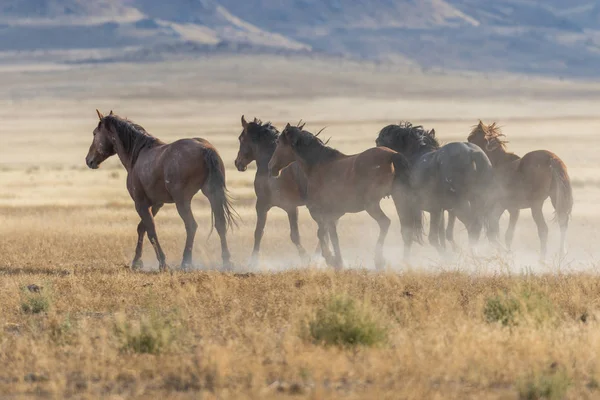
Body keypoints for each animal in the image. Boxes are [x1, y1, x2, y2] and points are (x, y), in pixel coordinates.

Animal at [85, 111, 236, 270]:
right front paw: (137, 261)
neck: (137, 155)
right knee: (220, 223)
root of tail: (205, 148)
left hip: (182, 202)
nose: (89, 160)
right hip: (213, 194)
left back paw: (186, 262)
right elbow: (142, 228)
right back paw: (227, 261)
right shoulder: (157, 204)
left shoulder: (141, 204)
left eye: (94, 133)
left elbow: (151, 230)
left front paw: (162, 262)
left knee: (191, 225)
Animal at [233, 115, 312, 266]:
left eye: (241, 138)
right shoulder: (289, 207)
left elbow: (259, 232)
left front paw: (253, 261)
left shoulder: (266, 205)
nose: (237, 163)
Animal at [268, 123, 422, 270]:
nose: (271, 167)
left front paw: (333, 260)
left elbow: (323, 234)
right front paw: (336, 260)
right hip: (399, 197)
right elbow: (330, 235)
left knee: (385, 223)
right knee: (406, 230)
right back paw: (405, 262)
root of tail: (392, 155)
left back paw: (379, 260)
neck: (318, 166)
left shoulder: (320, 212)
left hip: (371, 204)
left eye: (279, 142)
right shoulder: (333, 214)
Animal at [378, 122, 494, 253]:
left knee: (472, 226)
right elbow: (441, 236)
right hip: (479, 201)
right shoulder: (438, 210)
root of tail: (471, 153)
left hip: (460, 205)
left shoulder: (404, 203)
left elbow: (410, 235)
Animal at [464, 121, 572, 260]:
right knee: (563, 223)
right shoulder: (513, 209)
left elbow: (496, 232)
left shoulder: (503, 207)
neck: (499, 164)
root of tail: (551, 159)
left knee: (543, 229)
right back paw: (561, 254)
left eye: (471, 139)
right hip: (555, 199)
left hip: (536, 205)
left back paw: (542, 258)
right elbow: (507, 234)